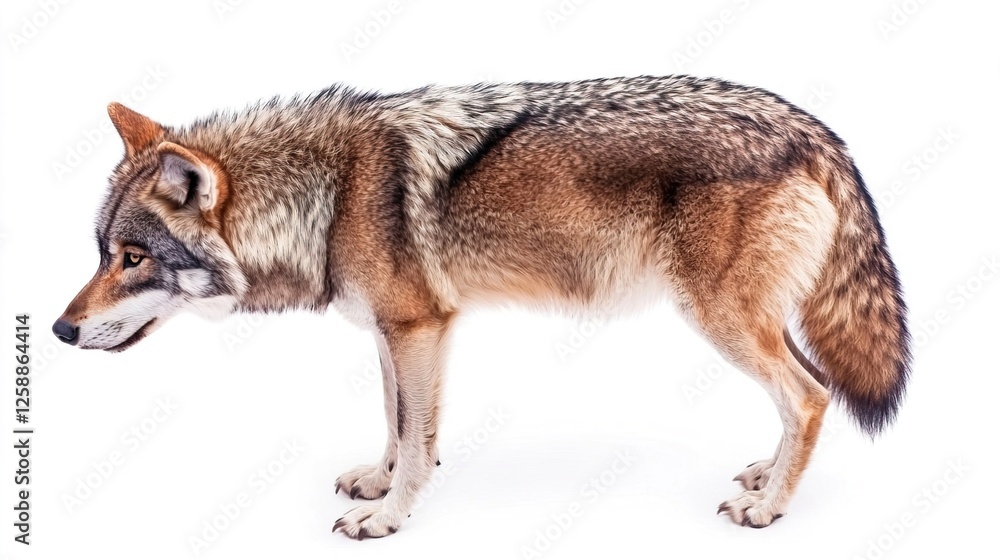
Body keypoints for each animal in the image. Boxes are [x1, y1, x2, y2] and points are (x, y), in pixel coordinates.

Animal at [53, 75, 910, 538]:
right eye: (101, 252)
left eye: (132, 258)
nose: (60, 329)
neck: (325, 195)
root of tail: (811, 127)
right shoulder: (393, 330)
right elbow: (397, 424)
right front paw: (379, 485)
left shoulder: (420, 327)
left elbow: (416, 433)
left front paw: (388, 521)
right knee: (802, 395)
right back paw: (766, 475)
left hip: (721, 322)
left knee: (810, 396)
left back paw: (769, 509)